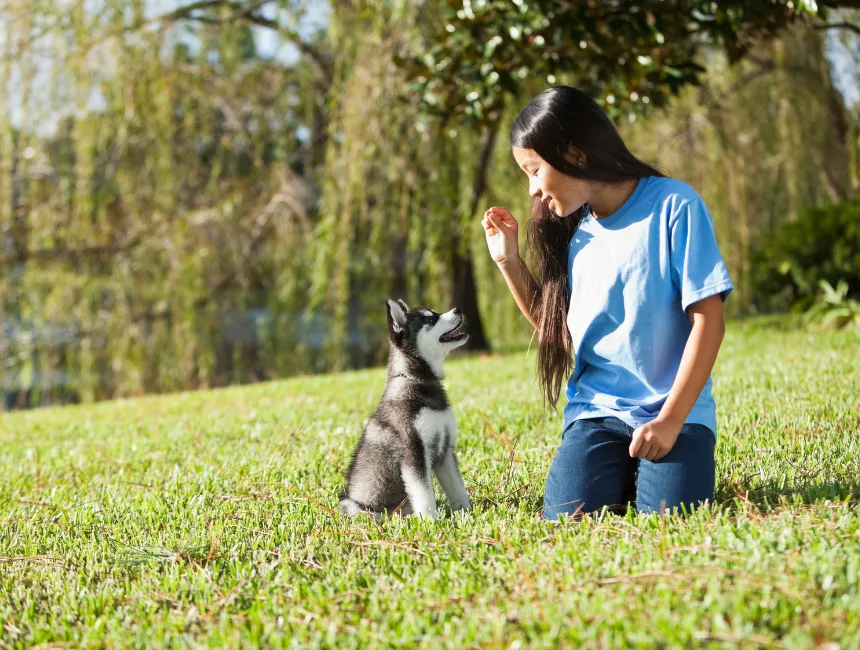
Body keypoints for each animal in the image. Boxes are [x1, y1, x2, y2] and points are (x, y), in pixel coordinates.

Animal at [340, 302, 470, 520]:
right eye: (430, 319)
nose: (458, 310)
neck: (417, 381)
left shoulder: (445, 450)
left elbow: (458, 489)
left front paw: (466, 514)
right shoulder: (413, 452)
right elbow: (425, 495)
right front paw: (432, 522)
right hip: (356, 507)